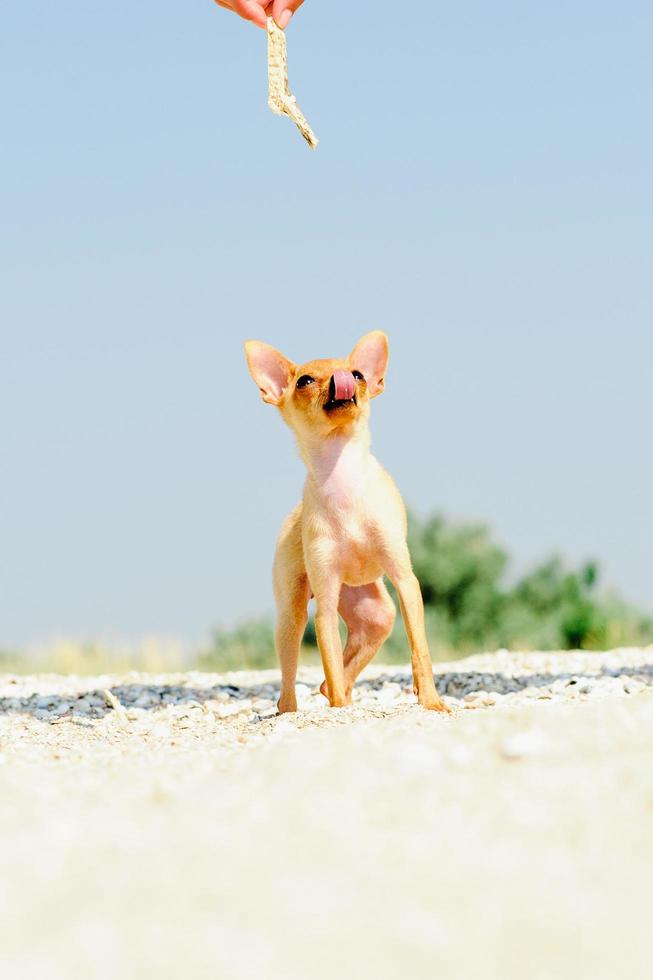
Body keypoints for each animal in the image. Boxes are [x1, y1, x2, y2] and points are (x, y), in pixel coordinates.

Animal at [244, 334, 448, 716]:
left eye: (358, 375)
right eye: (304, 381)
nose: (344, 379)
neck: (342, 479)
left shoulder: (405, 582)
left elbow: (420, 651)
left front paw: (431, 701)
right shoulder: (324, 604)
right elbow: (331, 663)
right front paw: (339, 711)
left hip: (376, 615)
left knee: (334, 675)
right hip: (294, 613)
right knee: (297, 683)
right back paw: (296, 712)